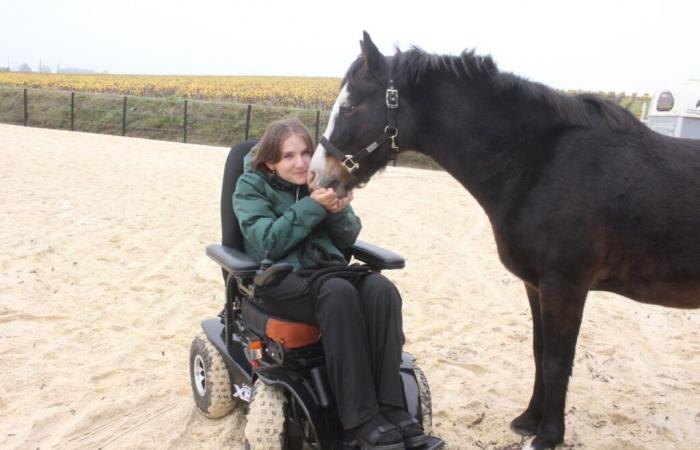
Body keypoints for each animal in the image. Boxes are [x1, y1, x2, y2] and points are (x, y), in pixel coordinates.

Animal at [308, 32, 700, 450]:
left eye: (350, 107)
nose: (316, 175)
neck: (543, 163)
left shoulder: (564, 286)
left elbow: (558, 360)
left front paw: (547, 436)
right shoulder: (536, 284)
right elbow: (539, 351)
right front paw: (529, 420)